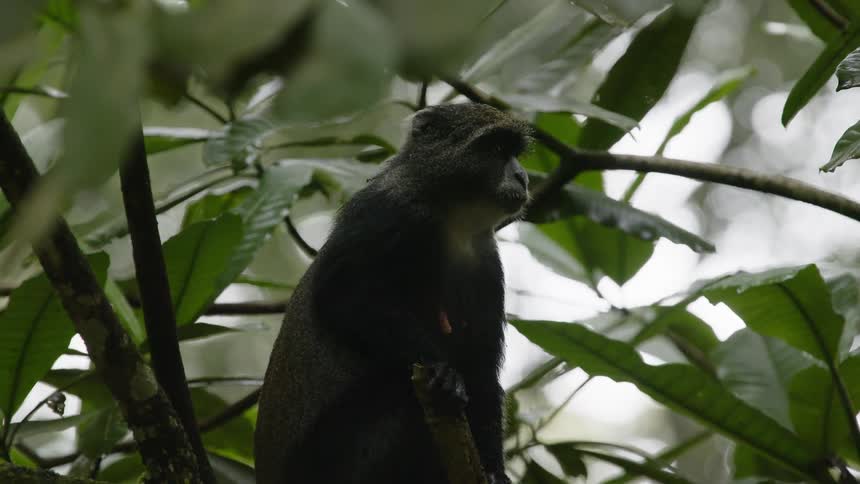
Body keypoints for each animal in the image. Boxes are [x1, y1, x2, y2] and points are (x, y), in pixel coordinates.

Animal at [255, 102, 531, 484]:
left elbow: (482, 369)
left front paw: (493, 472)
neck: (453, 216)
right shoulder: (389, 210)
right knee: (396, 396)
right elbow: (340, 298)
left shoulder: (485, 261)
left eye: (516, 153)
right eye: (497, 149)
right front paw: (441, 369)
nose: (522, 177)